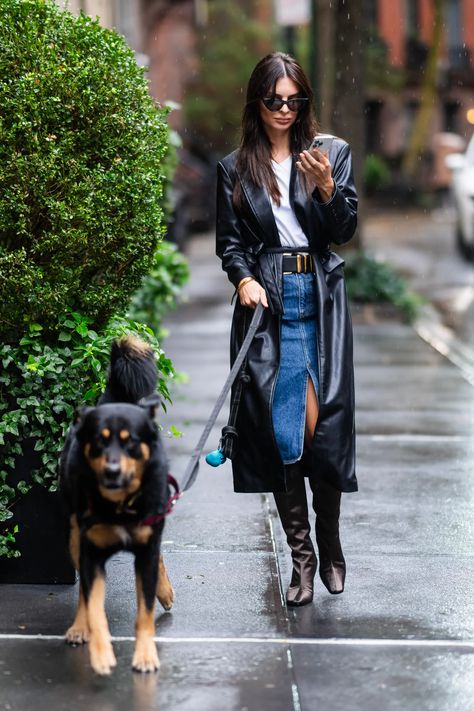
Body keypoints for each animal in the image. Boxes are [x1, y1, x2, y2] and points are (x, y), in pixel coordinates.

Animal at [60, 336, 176, 676]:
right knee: (83, 595)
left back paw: (164, 591)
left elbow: (145, 613)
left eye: (131, 442)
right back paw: (79, 628)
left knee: (159, 555)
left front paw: (146, 656)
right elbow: (94, 605)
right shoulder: (91, 553)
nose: (111, 471)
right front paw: (100, 653)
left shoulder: (146, 549)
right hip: (75, 537)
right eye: (99, 441)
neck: (120, 505)